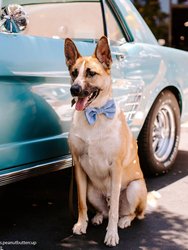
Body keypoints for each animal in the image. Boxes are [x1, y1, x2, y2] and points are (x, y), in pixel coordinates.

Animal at [64, 36, 148, 247]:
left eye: (91, 73)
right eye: (74, 73)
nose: (74, 89)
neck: (94, 115)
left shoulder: (115, 167)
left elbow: (115, 209)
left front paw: (111, 234)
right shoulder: (78, 166)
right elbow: (81, 203)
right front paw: (81, 224)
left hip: (134, 188)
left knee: (130, 213)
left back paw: (124, 221)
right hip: (92, 191)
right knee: (104, 209)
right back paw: (97, 217)